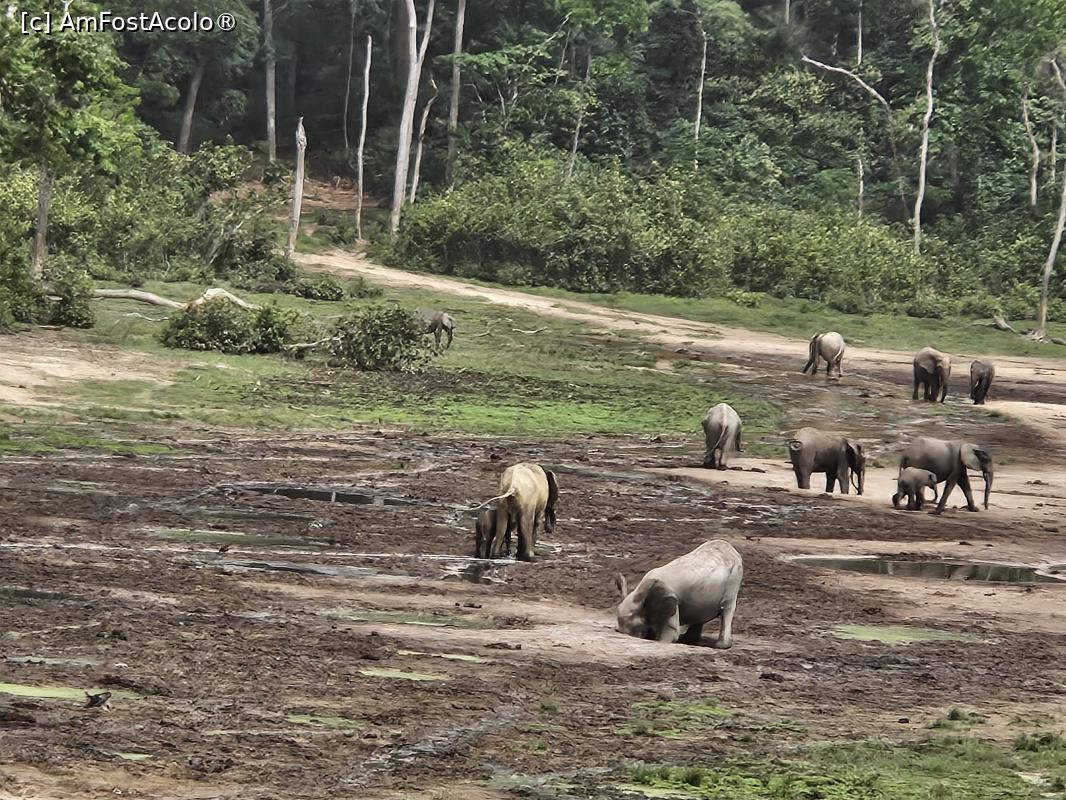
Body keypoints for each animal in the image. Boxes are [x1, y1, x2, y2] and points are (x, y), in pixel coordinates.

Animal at [614, 540, 743, 647]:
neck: (638, 596)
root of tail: (734, 551)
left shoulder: (667, 597)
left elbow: (671, 633)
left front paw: (662, 640)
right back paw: (688, 640)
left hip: (734, 577)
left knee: (727, 607)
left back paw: (721, 646)